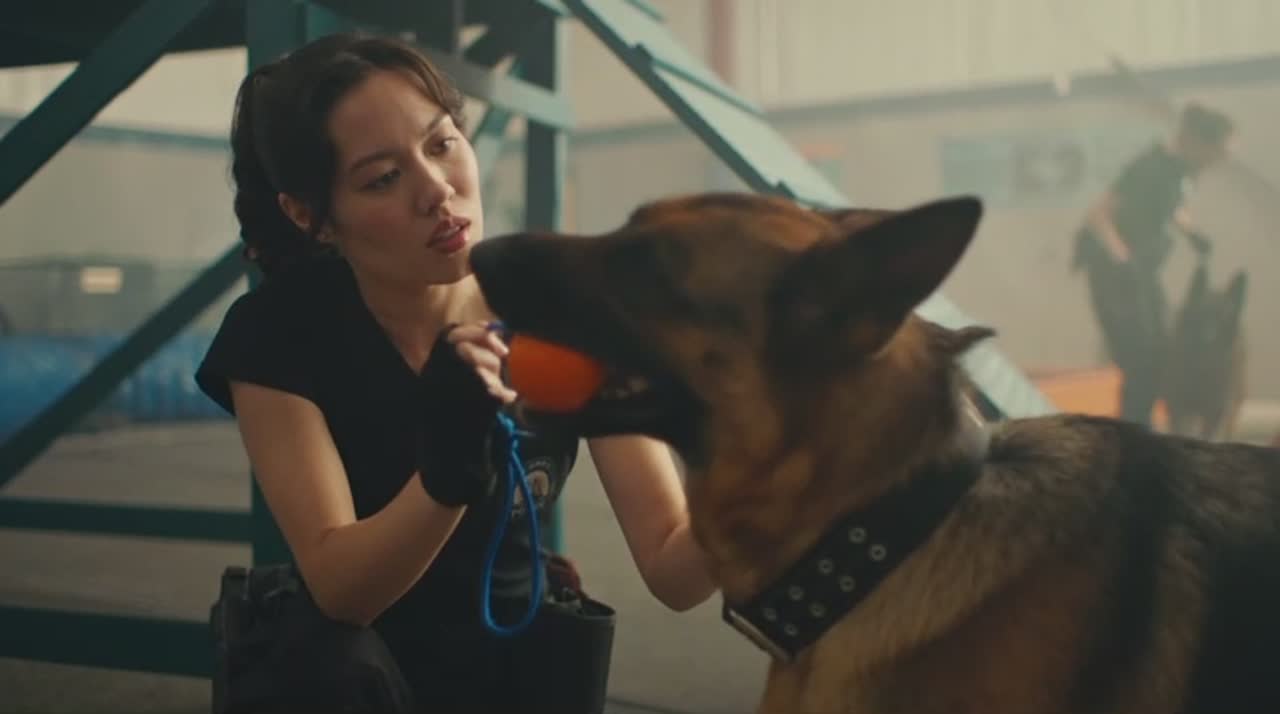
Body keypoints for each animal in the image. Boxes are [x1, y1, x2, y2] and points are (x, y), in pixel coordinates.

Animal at [1164, 260, 1248, 441]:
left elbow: (1206, 434)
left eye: (1225, 320)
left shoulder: (1215, 411)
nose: (1210, 342)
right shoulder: (1177, 404)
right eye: (1201, 315)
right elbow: (1181, 427)